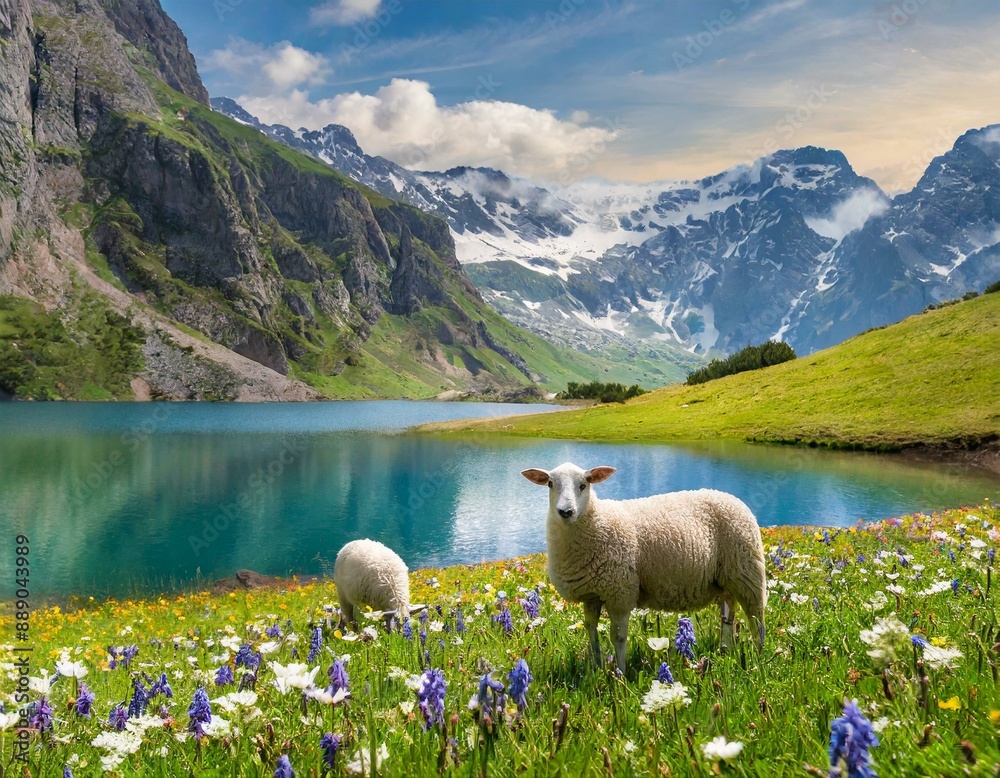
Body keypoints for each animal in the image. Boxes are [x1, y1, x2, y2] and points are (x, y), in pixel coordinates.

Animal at [521, 462, 767, 673]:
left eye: (584, 484)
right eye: (550, 484)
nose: (566, 511)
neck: (596, 521)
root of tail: (730, 497)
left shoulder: (620, 593)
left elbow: (618, 637)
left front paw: (620, 673)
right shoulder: (591, 595)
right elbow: (591, 631)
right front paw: (597, 667)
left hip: (747, 571)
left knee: (756, 617)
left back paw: (759, 655)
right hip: (725, 580)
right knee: (728, 615)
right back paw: (726, 649)